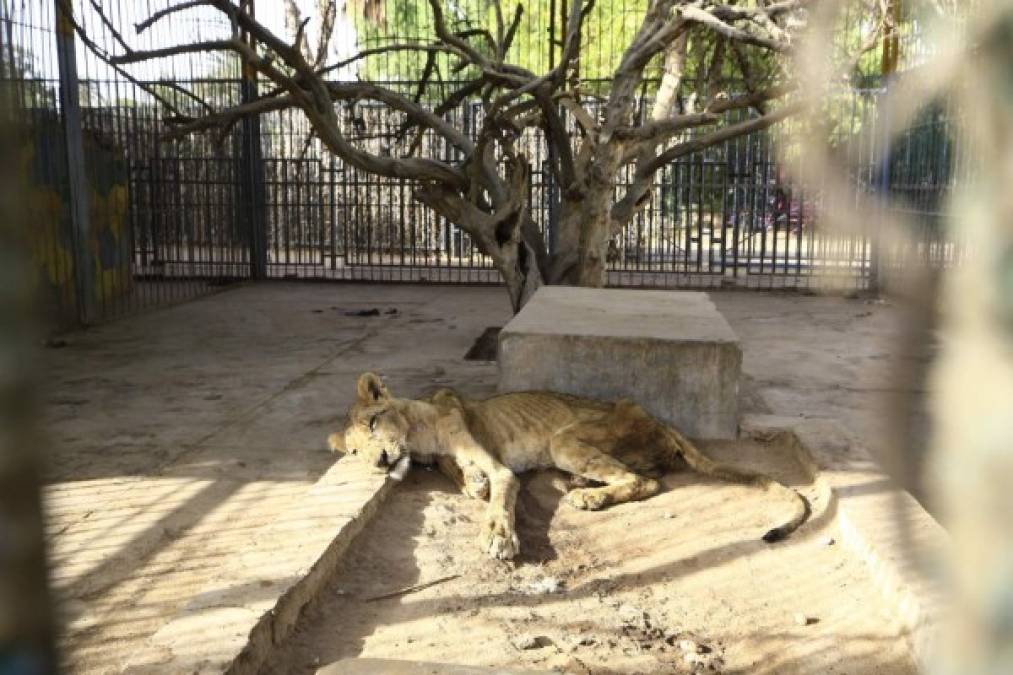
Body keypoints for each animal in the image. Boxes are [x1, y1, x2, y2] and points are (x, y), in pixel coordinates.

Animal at [330, 370, 806, 559]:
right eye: (352, 451)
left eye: (372, 423)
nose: (378, 460)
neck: (418, 432)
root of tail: (658, 418)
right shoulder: (444, 456)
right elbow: (459, 474)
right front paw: (473, 482)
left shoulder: (496, 459)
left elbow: (498, 496)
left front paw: (499, 537)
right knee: (647, 474)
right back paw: (582, 485)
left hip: (564, 439)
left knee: (645, 482)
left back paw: (589, 498)